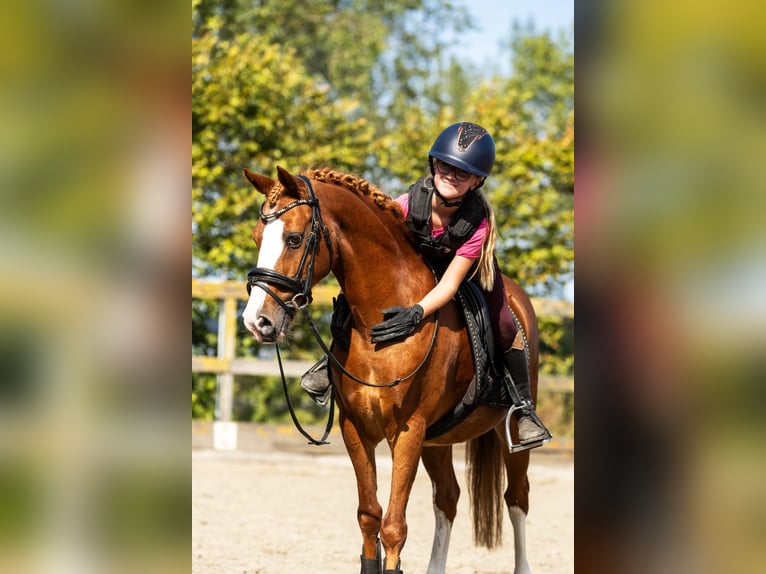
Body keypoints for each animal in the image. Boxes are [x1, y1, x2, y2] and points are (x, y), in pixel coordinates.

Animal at [242, 166, 540, 574]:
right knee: (448, 497)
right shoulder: (357, 428)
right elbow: (369, 516)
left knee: (517, 498)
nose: (257, 321)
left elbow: (394, 526)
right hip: (436, 440)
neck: (379, 321)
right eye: (257, 237)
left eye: (294, 239)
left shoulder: (408, 430)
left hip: (505, 434)